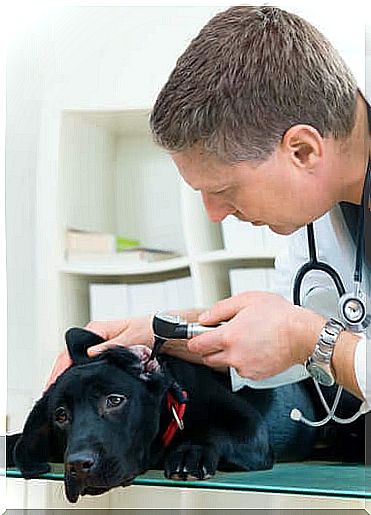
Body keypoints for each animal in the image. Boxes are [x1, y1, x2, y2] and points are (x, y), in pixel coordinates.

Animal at [7, 326, 364, 504]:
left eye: (114, 400)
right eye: (61, 416)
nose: (78, 465)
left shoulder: (250, 430)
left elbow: (213, 433)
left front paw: (190, 453)